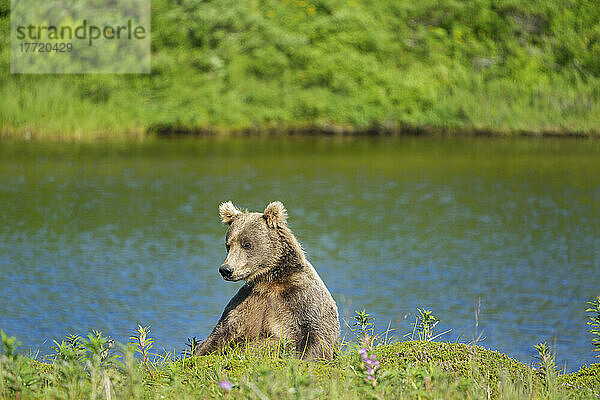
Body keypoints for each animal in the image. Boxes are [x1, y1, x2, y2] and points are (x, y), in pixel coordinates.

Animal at [195, 200, 340, 360]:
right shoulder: (247, 301)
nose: (226, 269)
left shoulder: (301, 298)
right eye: (228, 245)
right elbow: (219, 334)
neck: (270, 280)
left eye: (247, 244)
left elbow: (316, 333)